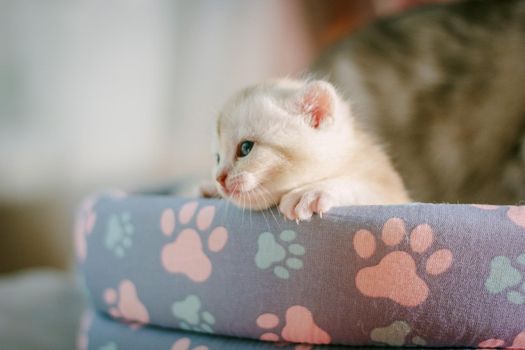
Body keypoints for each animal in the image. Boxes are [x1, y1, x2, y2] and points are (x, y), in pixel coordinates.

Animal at [201, 80, 410, 221]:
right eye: (217, 158)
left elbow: (365, 189)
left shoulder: (395, 195)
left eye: (245, 148)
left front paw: (312, 191)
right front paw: (209, 188)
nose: (219, 179)